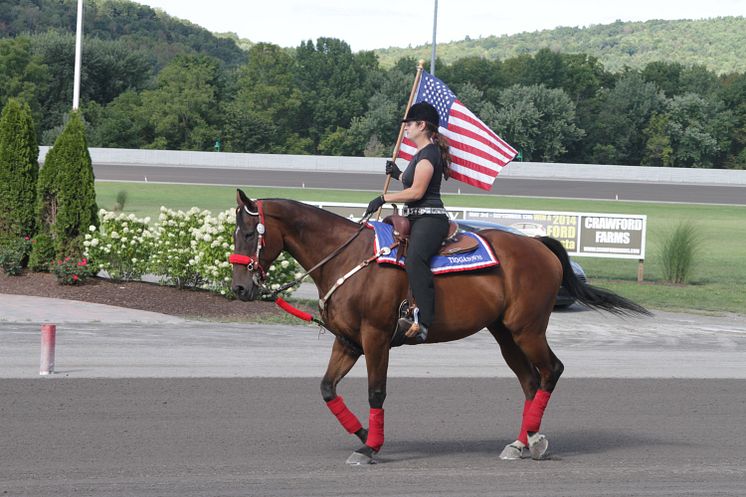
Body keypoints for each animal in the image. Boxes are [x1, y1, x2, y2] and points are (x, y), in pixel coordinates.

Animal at [230, 191, 648, 464]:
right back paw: (521, 442)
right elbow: (327, 389)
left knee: (552, 371)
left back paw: (535, 440)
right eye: (235, 233)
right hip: (505, 334)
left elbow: (376, 392)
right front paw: (365, 435)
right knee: (531, 381)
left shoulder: (376, 337)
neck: (349, 258)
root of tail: (539, 245)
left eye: (249, 234)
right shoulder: (348, 341)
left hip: (527, 328)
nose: (239, 288)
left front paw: (371, 446)